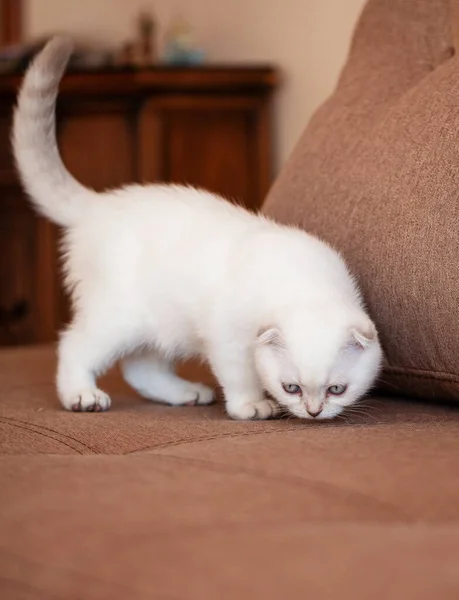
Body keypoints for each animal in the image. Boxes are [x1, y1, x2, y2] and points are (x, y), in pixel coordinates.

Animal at [12, 37, 382, 420]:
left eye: (337, 389)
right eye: (290, 387)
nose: (313, 412)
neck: (301, 282)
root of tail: (98, 204)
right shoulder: (226, 335)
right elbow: (239, 373)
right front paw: (250, 404)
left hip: (162, 324)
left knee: (140, 367)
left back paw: (184, 393)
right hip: (118, 317)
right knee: (73, 346)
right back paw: (81, 395)